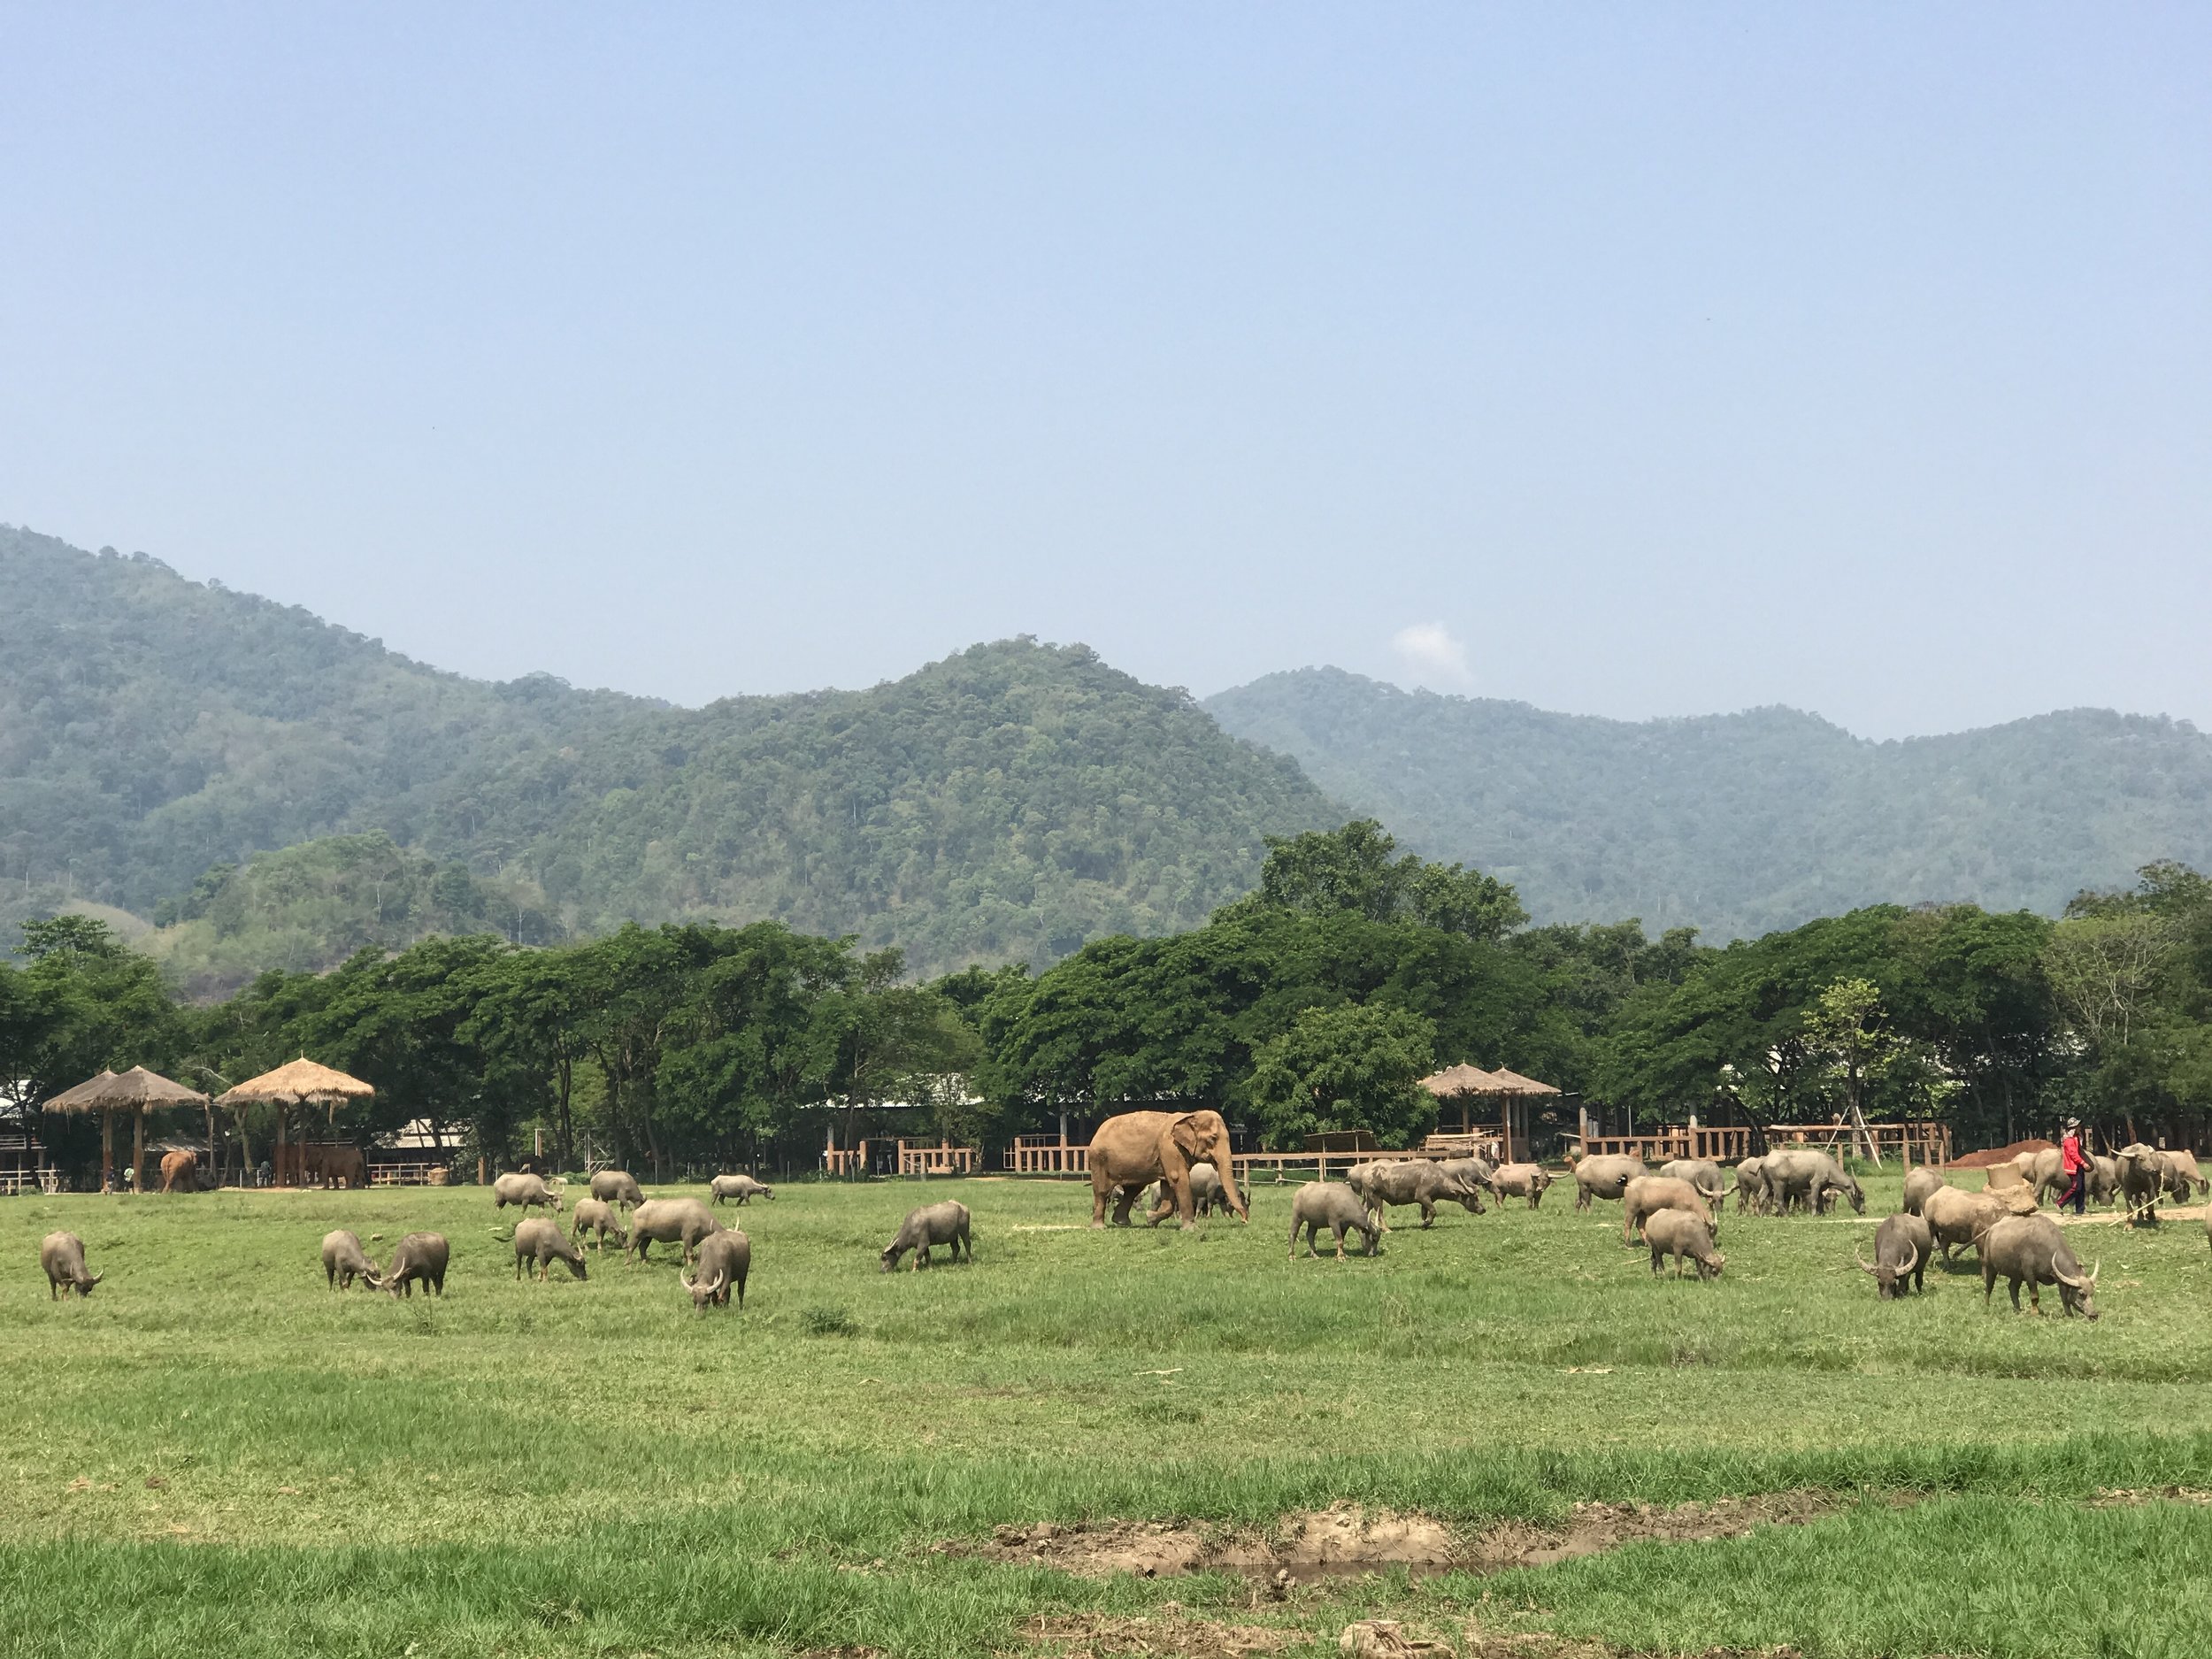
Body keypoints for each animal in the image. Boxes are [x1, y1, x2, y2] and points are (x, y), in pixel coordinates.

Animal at [1084, 1110, 1248, 1230]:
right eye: (1213, 1138)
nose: (1244, 1221)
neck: (1189, 1116)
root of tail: (1097, 1132)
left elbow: (1168, 1186)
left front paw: (1150, 1219)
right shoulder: (1170, 1148)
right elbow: (1178, 1179)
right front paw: (1192, 1229)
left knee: (1133, 1190)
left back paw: (1122, 1222)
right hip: (1099, 1159)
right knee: (1102, 1191)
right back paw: (1099, 1227)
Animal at [1982, 1212, 2097, 1318]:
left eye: (2092, 1292)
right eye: (2081, 1294)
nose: (2094, 1315)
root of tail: (1992, 1229)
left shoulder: (2060, 1279)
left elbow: (2064, 1297)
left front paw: (2069, 1314)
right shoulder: (2029, 1274)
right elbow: (2034, 1296)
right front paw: (2035, 1312)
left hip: (2016, 1275)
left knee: (2012, 1288)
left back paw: (2017, 1309)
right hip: (1990, 1267)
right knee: (1989, 1286)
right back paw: (1987, 1306)